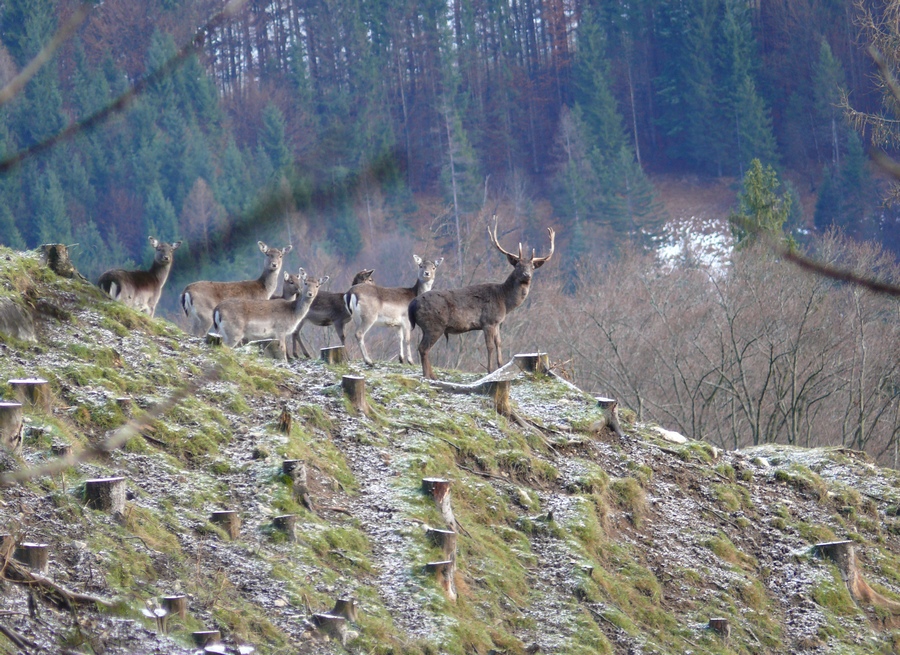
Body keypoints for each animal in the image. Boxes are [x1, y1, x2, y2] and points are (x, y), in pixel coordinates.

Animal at [410, 222, 556, 380]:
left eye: (532, 267)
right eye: (517, 265)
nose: (526, 275)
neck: (504, 301)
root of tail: (412, 304)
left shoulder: (497, 322)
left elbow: (499, 343)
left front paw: (500, 366)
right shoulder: (488, 321)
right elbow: (490, 346)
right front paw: (490, 370)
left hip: (427, 327)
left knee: (423, 348)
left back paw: (431, 375)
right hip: (434, 325)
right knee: (423, 348)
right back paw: (428, 376)